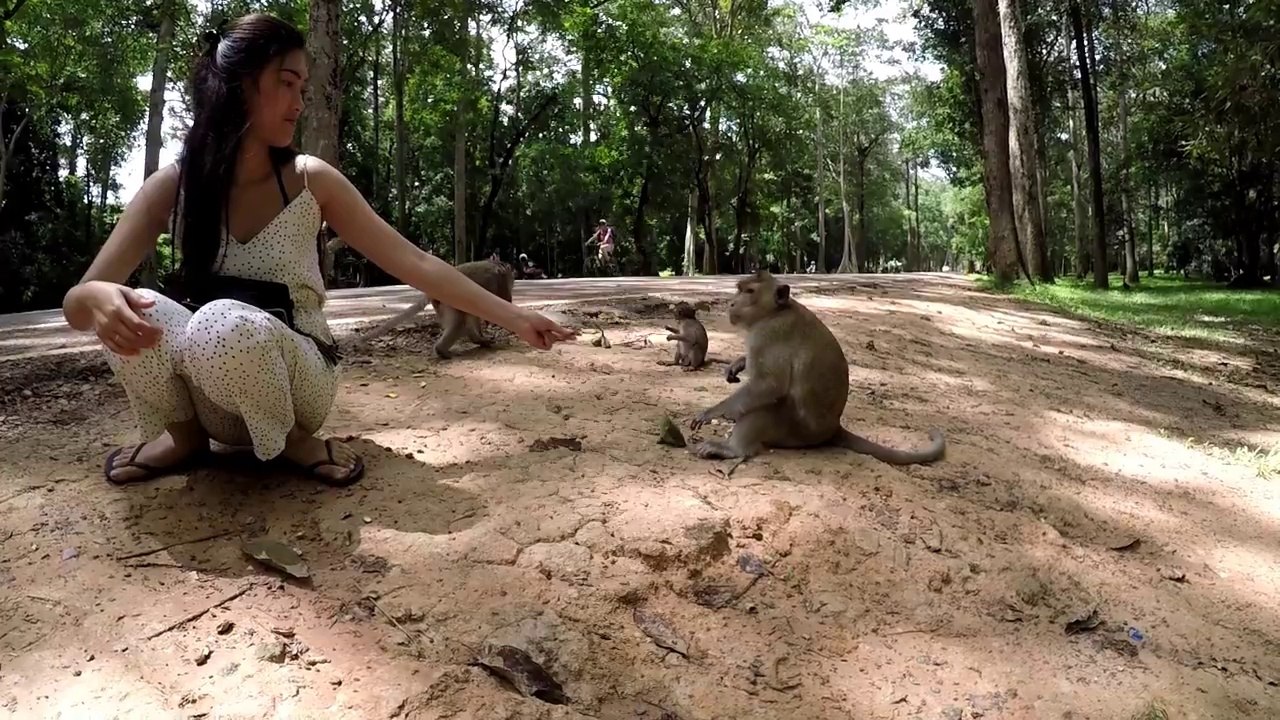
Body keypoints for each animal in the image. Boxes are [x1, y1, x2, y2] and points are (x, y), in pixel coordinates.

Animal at [354, 258, 515, 359]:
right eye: (511, 280)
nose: (512, 286)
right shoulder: (496, 283)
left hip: (441, 304)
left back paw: (476, 339)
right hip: (450, 299)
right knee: (459, 323)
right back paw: (443, 350)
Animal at [688, 270, 946, 468]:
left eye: (749, 292)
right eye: (739, 289)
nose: (732, 303)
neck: (776, 312)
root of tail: (834, 427)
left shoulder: (768, 334)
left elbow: (770, 385)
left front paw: (713, 411)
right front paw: (738, 363)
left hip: (796, 431)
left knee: (765, 406)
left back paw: (733, 448)